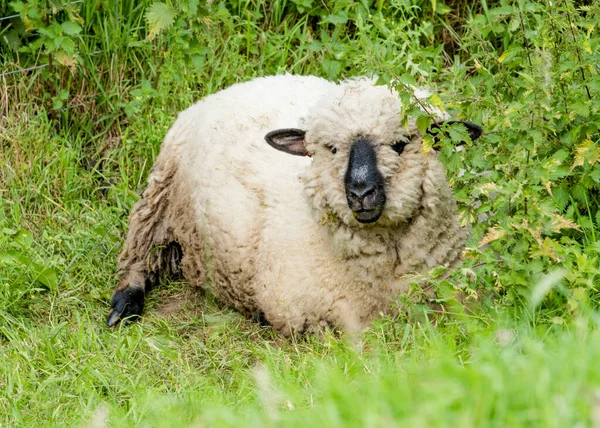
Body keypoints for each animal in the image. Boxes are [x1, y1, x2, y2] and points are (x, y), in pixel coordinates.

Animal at [106, 73, 482, 336]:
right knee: (137, 259)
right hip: (158, 202)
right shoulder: (302, 312)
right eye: (332, 149)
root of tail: (234, 85)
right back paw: (123, 308)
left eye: (401, 144)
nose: (360, 192)